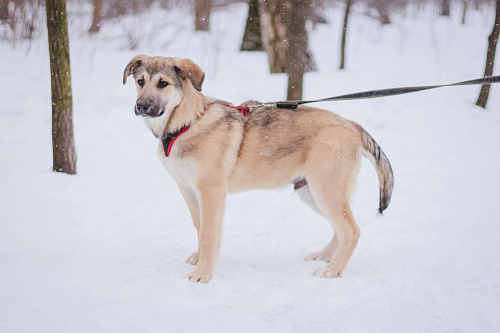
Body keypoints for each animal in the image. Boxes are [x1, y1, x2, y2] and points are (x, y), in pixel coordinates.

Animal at [123, 55, 392, 282]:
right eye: (140, 81)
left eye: (163, 83)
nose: (141, 106)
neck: (186, 123)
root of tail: (353, 125)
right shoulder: (188, 190)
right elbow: (200, 227)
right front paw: (200, 259)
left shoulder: (211, 192)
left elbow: (208, 234)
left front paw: (203, 274)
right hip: (312, 193)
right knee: (341, 229)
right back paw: (324, 256)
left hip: (325, 189)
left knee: (352, 231)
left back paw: (332, 270)